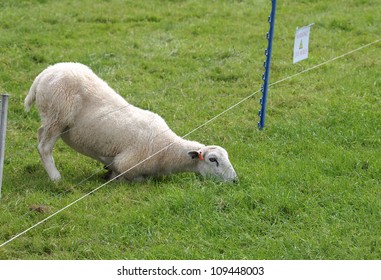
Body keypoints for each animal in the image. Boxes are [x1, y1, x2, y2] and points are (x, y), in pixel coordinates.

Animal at [23, 62, 236, 183]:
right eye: (213, 160)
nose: (235, 181)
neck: (166, 149)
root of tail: (43, 75)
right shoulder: (127, 163)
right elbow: (137, 178)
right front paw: (111, 178)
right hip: (58, 114)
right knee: (44, 147)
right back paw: (56, 178)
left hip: (51, 116)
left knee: (40, 134)